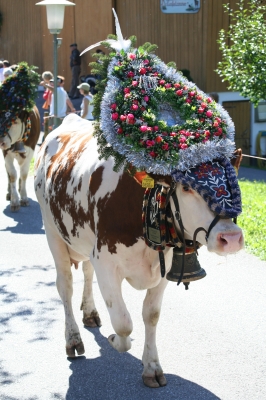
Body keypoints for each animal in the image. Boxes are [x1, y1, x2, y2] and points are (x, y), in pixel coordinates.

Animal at [0, 61, 40, 212]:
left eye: (14, 121)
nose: (1, 141)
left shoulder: (31, 150)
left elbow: (23, 174)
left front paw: (23, 197)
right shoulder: (6, 152)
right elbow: (12, 174)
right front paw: (15, 200)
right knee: (7, 171)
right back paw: (9, 193)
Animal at [34, 10, 244, 388]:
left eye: (232, 181)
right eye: (187, 187)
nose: (231, 238)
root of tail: (64, 122)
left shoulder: (163, 267)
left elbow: (151, 315)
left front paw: (152, 367)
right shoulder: (107, 261)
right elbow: (124, 323)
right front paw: (115, 341)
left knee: (84, 275)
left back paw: (91, 314)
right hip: (52, 231)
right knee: (65, 285)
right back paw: (73, 339)